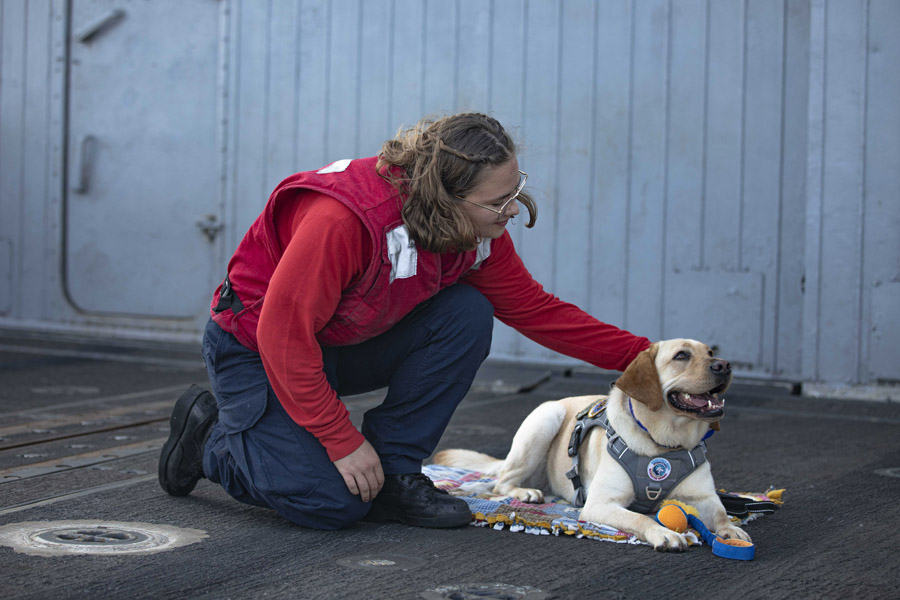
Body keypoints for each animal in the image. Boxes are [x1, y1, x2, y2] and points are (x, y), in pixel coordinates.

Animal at [436, 340, 752, 552]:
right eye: (681, 356)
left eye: (710, 353)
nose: (724, 365)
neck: (665, 445)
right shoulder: (600, 503)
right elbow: (639, 518)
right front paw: (663, 533)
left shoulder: (704, 498)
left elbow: (721, 512)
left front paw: (731, 530)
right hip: (545, 418)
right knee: (501, 482)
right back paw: (524, 492)